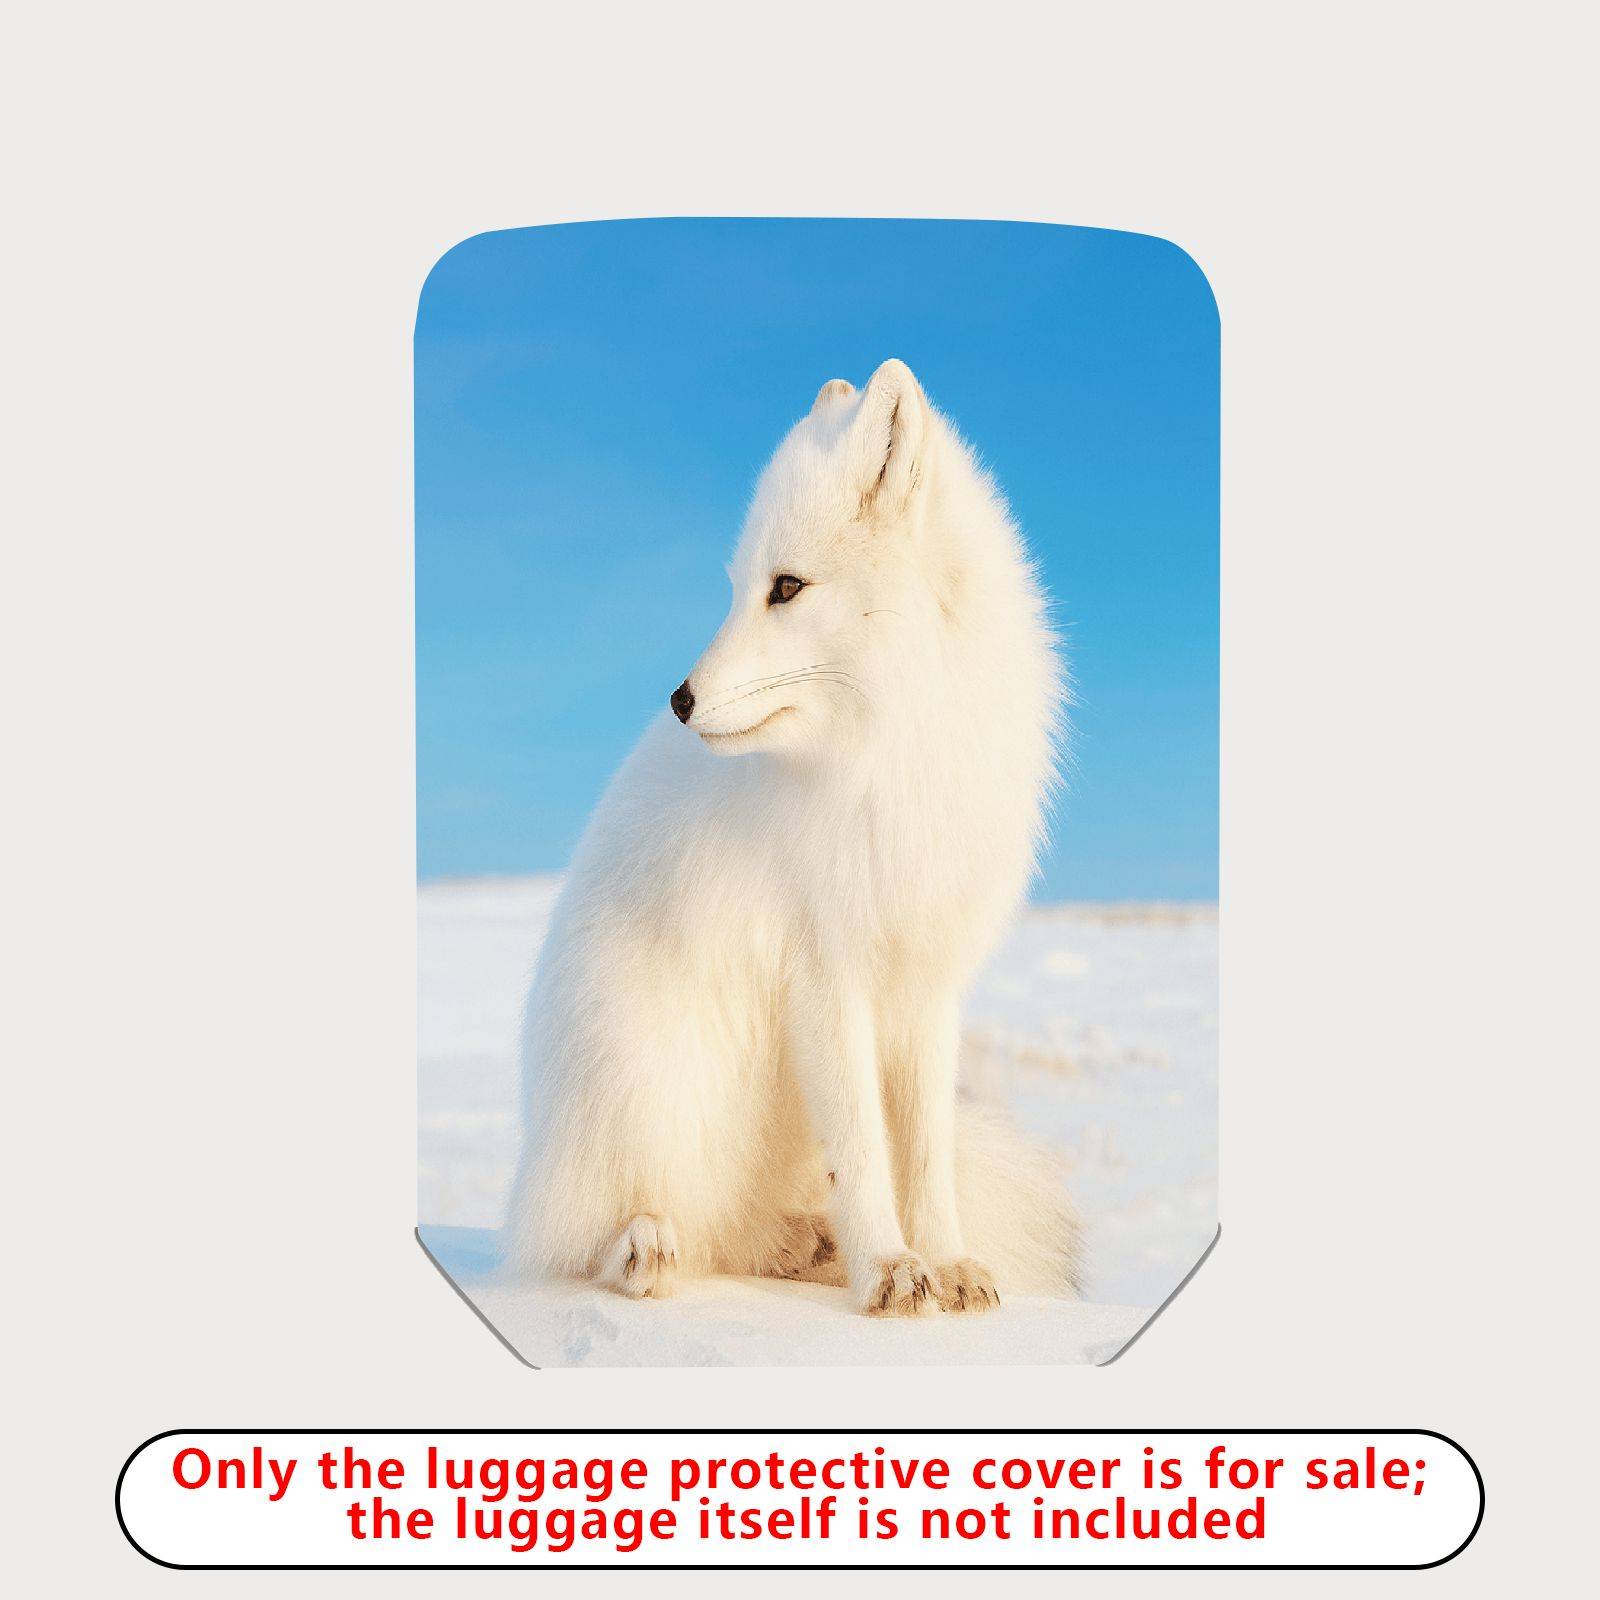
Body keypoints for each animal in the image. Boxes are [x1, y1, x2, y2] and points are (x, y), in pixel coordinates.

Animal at [504, 358, 1080, 1316]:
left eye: (787, 588)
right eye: (741, 586)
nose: (680, 701)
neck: (889, 752)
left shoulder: (926, 984)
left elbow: (923, 1156)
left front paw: (944, 1261)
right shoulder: (822, 970)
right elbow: (865, 1151)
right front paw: (888, 1269)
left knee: (745, 1229)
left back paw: (800, 1244)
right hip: (652, 1077)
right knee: (600, 1234)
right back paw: (644, 1248)